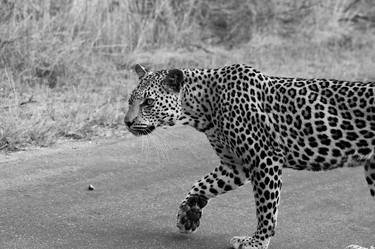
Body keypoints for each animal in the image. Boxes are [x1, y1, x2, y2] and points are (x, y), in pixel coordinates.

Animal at [125, 63, 374, 248]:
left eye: (148, 102)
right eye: (130, 100)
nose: (127, 122)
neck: (202, 107)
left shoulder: (264, 159)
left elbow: (266, 208)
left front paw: (257, 241)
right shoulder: (234, 166)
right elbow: (200, 184)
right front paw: (188, 215)